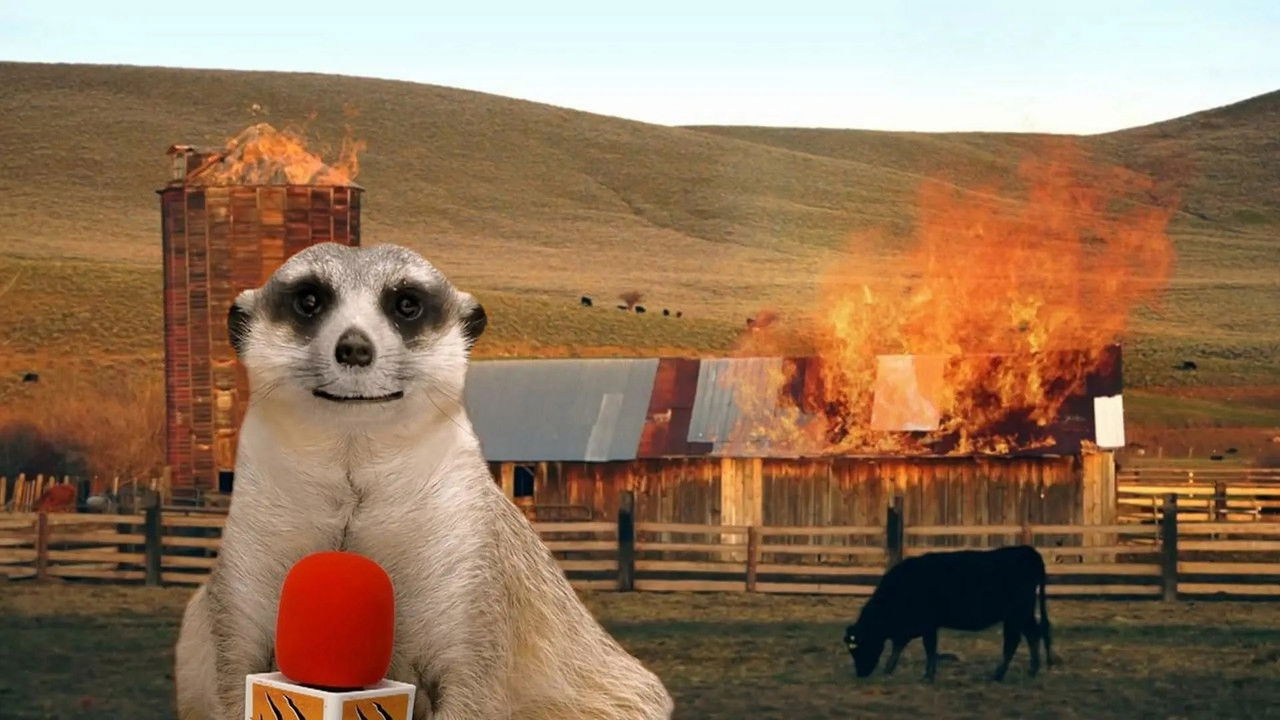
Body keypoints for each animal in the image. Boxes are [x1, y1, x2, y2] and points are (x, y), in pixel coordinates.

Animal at [843, 545, 1054, 683]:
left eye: (859, 647)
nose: (860, 673)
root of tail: (1028, 551)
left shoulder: (928, 625)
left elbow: (929, 648)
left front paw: (928, 676)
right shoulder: (910, 628)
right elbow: (899, 647)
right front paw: (889, 669)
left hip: (1017, 613)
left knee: (1014, 641)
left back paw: (999, 675)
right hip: (1023, 614)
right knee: (1033, 635)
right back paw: (1031, 670)